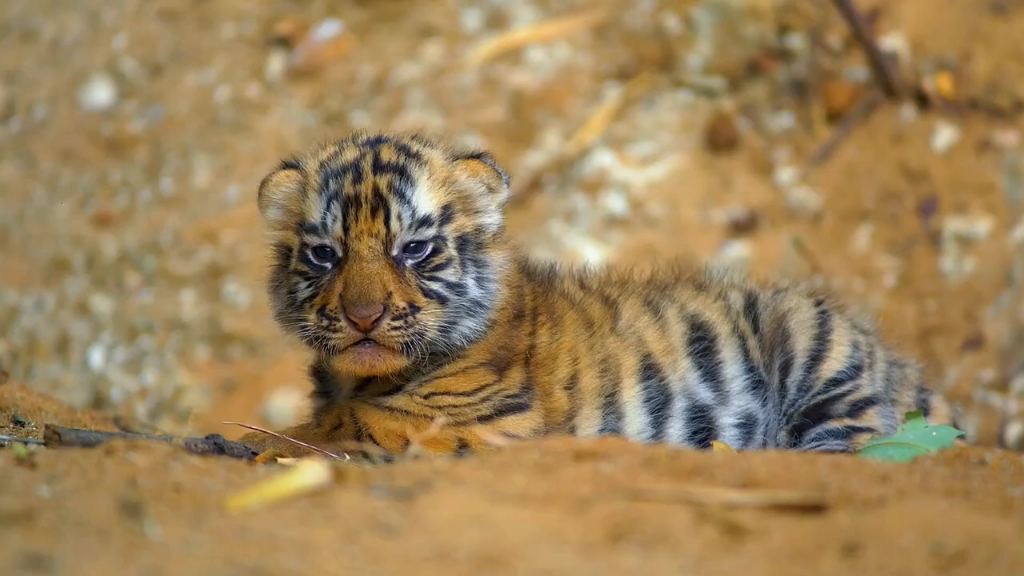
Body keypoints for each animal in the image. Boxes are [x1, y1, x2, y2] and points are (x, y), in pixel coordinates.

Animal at [237, 130, 955, 462]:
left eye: (413, 249)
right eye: (325, 253)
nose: (364, 317)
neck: (357, 376)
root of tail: (906, 366)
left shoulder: (485, 417)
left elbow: (349, 422)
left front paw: (262, 441)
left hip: (814, 345)